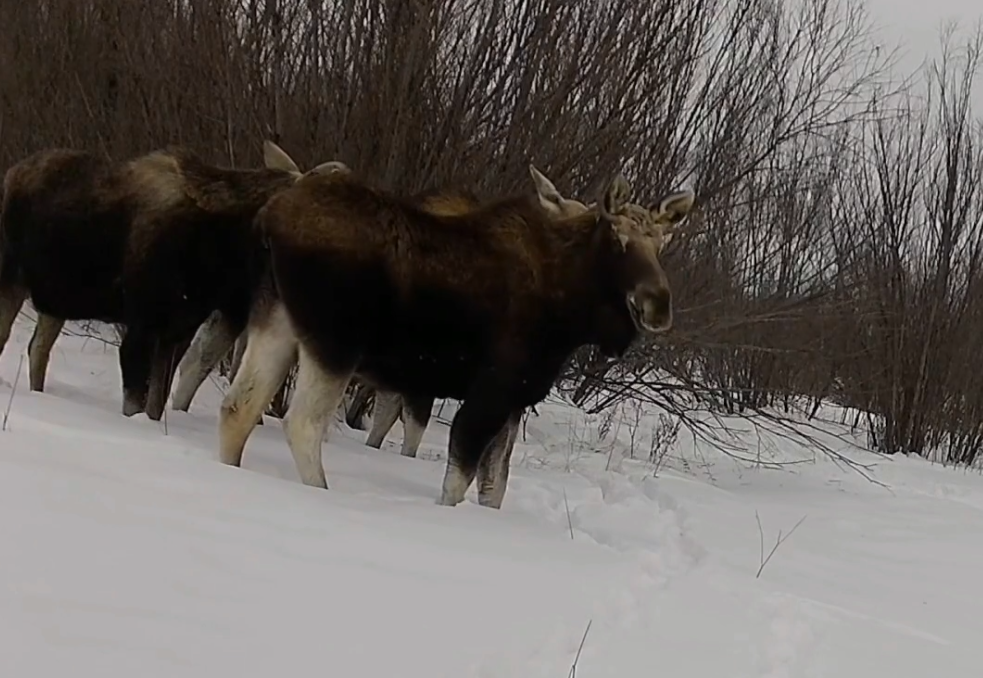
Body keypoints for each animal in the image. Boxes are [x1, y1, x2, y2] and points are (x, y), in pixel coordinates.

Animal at [0, 141, 346, 420]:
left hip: (55, 301)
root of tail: (11, 173)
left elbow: (157, 403)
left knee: (37, 349)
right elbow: (136, 403)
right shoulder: (142, 327)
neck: (219, 250)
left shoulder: (179, 330)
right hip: (11, 280)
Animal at [217, 167, 692, 510]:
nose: (658, 304)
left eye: (662, 243)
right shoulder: (491, 391)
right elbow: (458, 482)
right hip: (335, 343)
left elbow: (494, 486)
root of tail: (269, 218)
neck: (571, 309)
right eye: (618, 239)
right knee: (302, 423)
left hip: (276, 320)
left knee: (239, 406)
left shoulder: (515, 400)